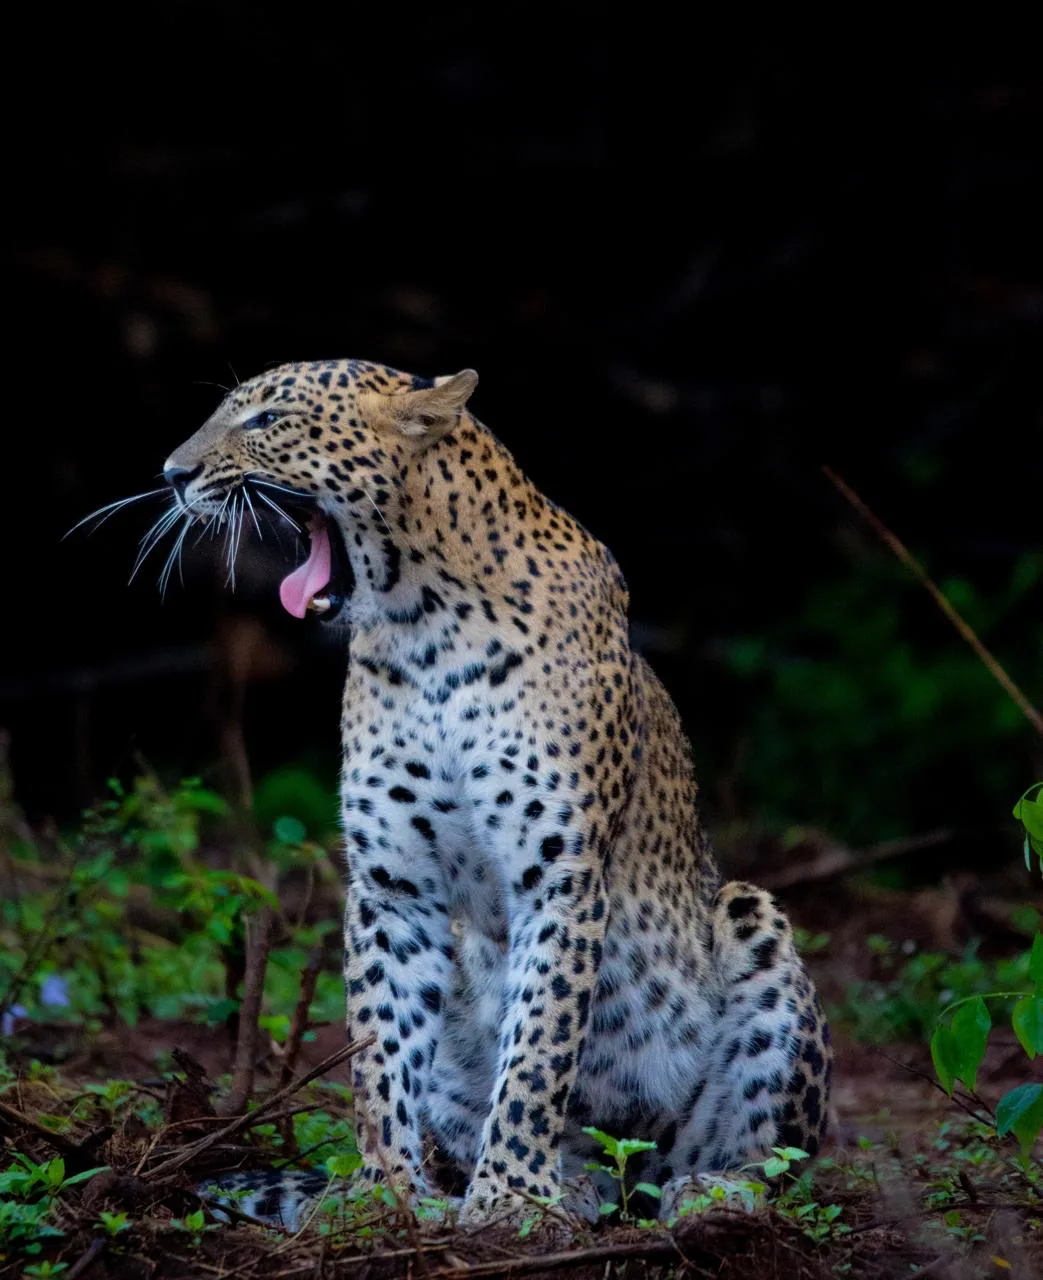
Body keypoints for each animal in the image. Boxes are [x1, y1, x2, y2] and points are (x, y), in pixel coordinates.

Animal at [160, 358, 831, 1227]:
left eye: (266, 419)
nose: (172, 475)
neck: (424, 624)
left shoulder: (559, 875)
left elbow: (539, 1048)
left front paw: (510, 1194)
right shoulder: (393, 886)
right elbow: (379, 1053)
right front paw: (383, 1194)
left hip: (750, 923)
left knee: (763, 1161)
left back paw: (706, 1188)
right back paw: (559, 1185)